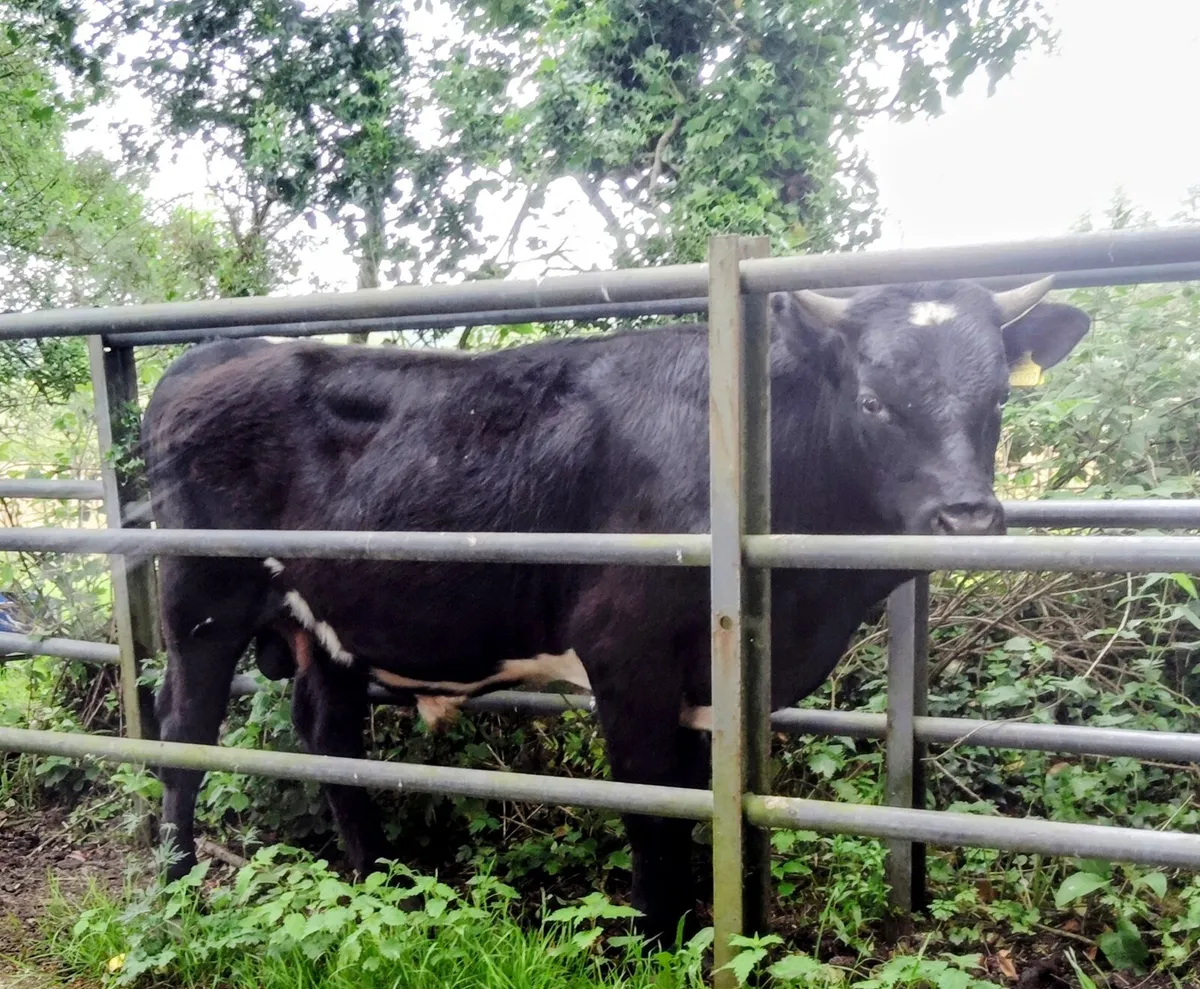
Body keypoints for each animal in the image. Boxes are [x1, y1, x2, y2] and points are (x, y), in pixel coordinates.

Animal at [141, 275, 1089, 941]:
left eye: (999, 398)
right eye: (872, 401)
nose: (969, 517)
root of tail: (215, 353)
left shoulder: (716, 682)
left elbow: (711, 806)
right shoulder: (626, 654)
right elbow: (653, 809)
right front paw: (656, 938)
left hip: (325, 622)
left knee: (332, 738)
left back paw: (382, 880)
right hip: (198, 602)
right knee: (182, 737)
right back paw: (175, 886)